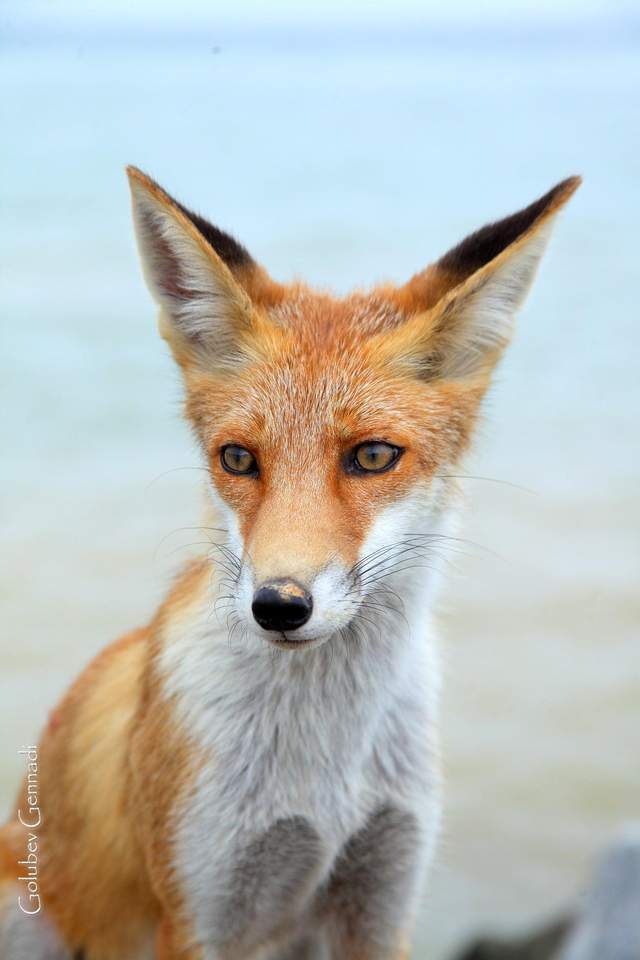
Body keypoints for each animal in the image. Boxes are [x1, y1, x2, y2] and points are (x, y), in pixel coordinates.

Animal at [0, 169, 580, 956]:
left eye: (373, 456)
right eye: (238, 459)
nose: (278, 605)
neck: (324, 772)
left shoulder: (381, 900)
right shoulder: (199, 911)